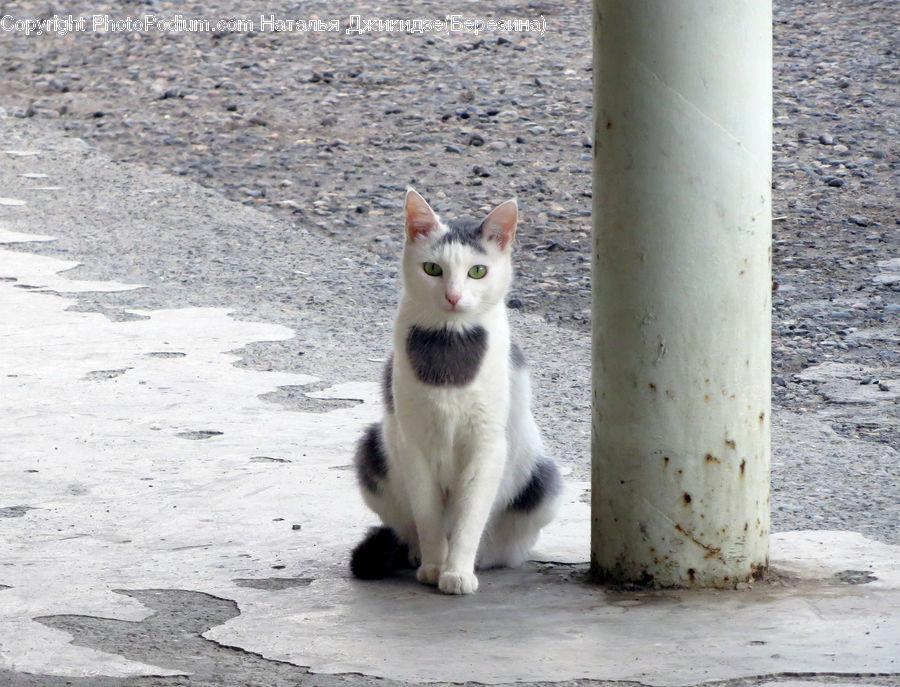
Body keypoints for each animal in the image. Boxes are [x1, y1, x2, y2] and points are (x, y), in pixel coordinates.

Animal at [348, 189, 560, 596]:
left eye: (477, 271)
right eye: (433, 269)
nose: (453, 296)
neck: (448, 347)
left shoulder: (487, 445)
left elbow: (469, 517)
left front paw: (458, 571)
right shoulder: (413, 444)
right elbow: (428, 516)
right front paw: (434, 565)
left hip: (543, 480)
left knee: (505, 546)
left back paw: (483, 558)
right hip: (371, 451)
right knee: (408, 528)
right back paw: (416, 555)